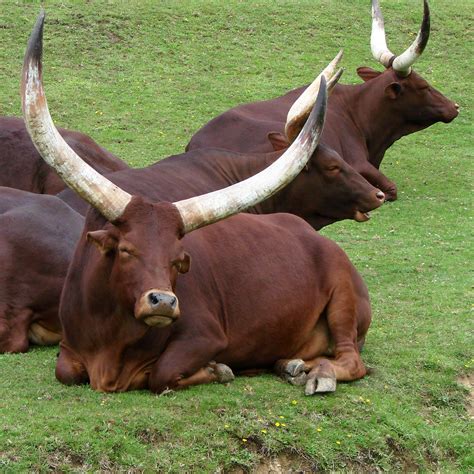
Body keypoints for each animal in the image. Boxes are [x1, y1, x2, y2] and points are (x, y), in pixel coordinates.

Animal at [22, 12, 374, 394]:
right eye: (126, 250)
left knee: (352, 360)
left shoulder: (205, 336)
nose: (163, 301)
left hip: (344, 300)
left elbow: (161, 375)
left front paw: (218, 369)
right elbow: (66, 372)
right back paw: (290, 365)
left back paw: (318, 374)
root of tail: (324, 243)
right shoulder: (69, 348)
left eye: (179, 260)